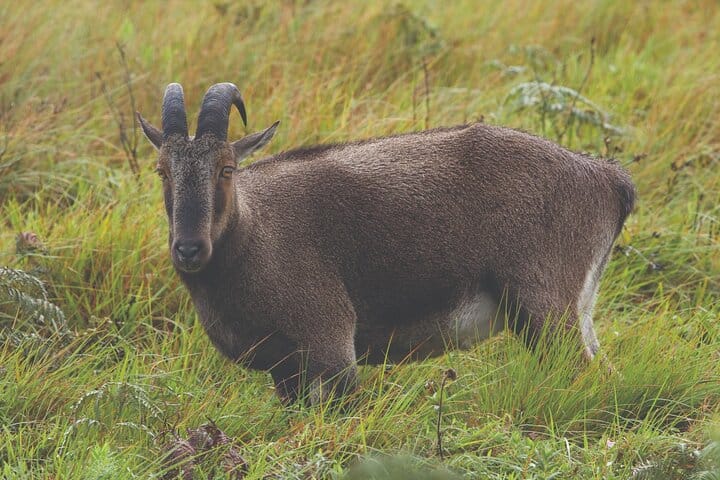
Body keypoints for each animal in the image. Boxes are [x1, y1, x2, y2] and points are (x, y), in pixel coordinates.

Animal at [137, 82, 635, 404]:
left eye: (227, 168)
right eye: (162, 170)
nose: (189, 249)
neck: (255, 235)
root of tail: (609, 179)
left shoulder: (331, 346)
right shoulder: (286, 372)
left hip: (546, 310)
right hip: (575, 313)